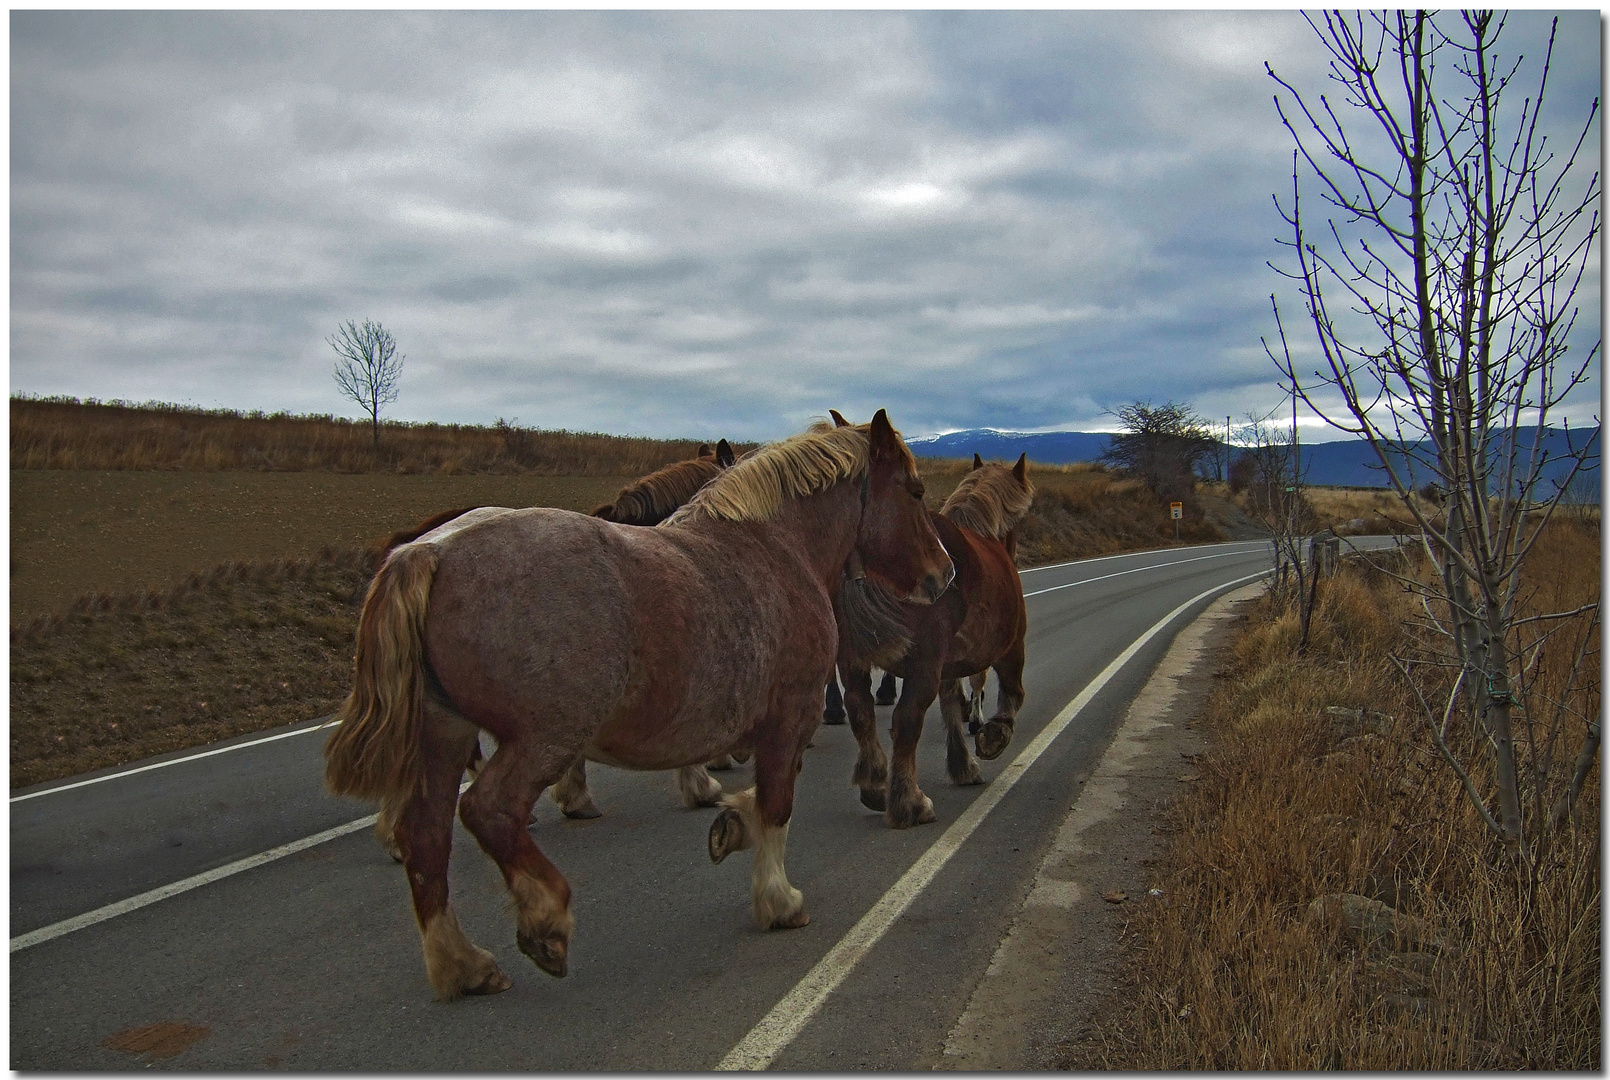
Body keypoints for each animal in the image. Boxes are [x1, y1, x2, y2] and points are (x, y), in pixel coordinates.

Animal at [326, 410, 953, 1004]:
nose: (943, 573)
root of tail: (430, 549)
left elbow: (755, 800)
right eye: (914, 489)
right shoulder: (788, 718)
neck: (776, 546)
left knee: (427, 837)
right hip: (542, 740)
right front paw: (778, 899)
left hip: (444, 735)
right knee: (488, 811)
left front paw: (730, 825)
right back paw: (546, 916)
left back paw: (462, 964)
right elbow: (777, 804)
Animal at [830, 444, 1030, 830]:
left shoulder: (946, 664)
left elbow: (951, 704)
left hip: (852, 660)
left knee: (860, 709)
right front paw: (994, 736)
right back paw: (908, 803)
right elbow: (1012, 695)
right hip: (925, 664)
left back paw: (875, 786)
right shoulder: (1010, 648)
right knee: (906, 720)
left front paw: (962, 764)